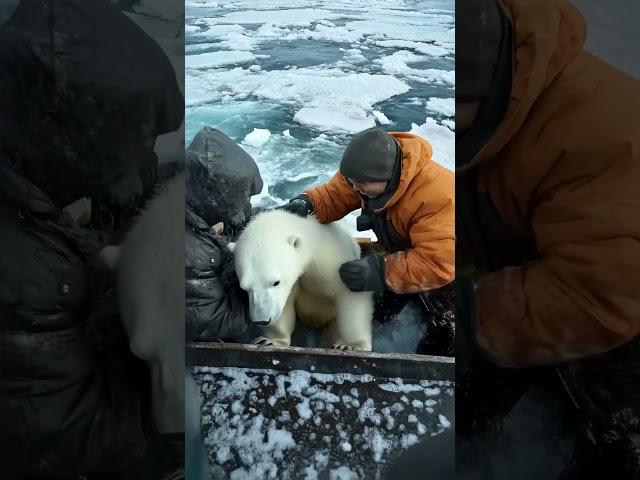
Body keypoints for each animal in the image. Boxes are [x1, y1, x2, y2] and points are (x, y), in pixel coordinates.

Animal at [228, 212, 376, 350]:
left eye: (276, 282)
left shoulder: (332, 263)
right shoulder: (293, 284)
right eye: (244, 288)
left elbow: (350, 295)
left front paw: (350, 345)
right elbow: (284, 307)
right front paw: (270, 341)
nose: (262, 320)